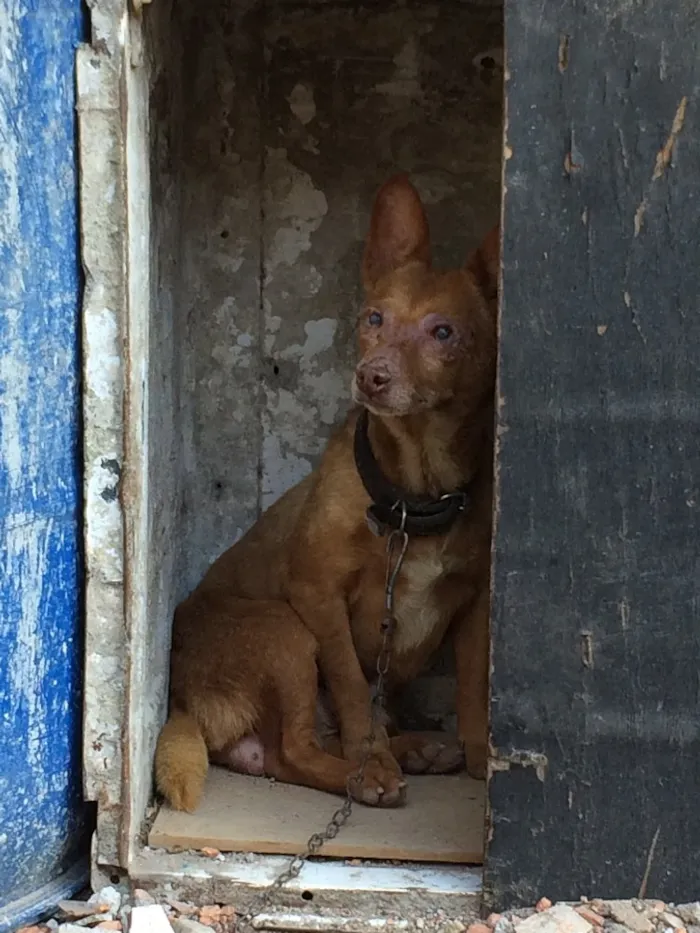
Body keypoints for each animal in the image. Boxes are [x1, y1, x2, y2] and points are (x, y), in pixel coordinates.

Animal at [156, 173, 500, 808]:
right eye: (374, 318)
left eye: (443, 332)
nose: (372, 376)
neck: (412, 495)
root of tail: (184, 700)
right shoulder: (318, 598)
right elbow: (350, 685)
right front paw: (374, 763)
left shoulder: (477, 602)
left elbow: (472, 687)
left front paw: (481, 762)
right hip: (284, 634)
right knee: (294, 751)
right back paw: (366, 775)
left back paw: (417, 748)